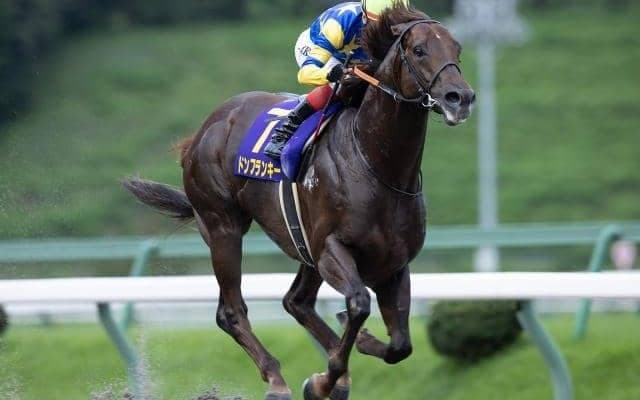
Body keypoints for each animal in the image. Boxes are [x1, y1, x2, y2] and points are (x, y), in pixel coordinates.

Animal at [123, 5, 474, 400]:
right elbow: (358, 305)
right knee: (231, 311)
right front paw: (325, 379)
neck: (378, 165)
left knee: (296, 301)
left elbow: (400, 345)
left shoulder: (393, 263)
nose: (460, 98)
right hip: (223, 226)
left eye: (457, 50)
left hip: (302, 245)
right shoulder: (332, 249)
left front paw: (351, 354)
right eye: (419, 50)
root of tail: (203, 131)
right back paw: (277, 378)